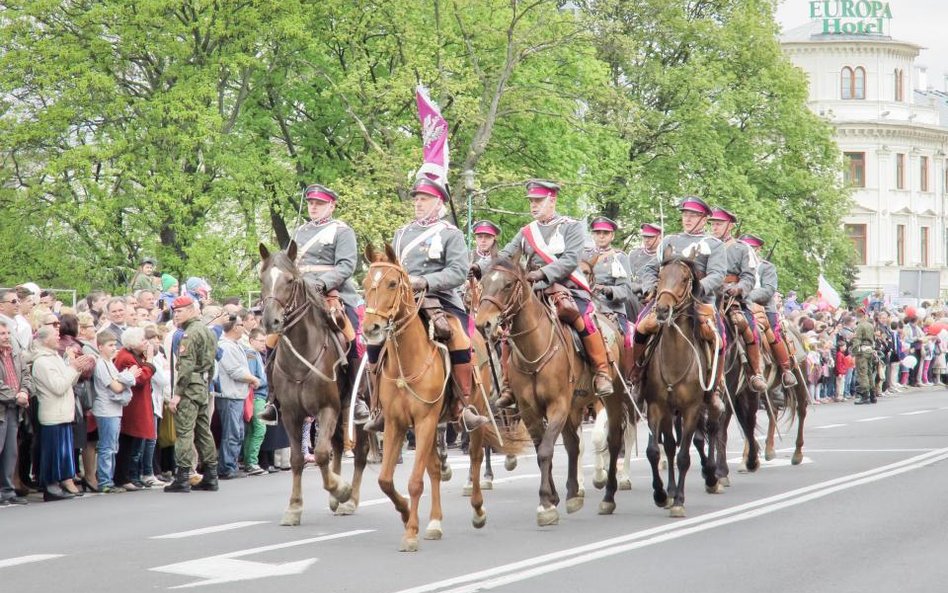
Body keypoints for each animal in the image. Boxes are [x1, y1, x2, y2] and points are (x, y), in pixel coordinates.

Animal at [256, 243, 366, 524]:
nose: (270, 322)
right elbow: (298, 458)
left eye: (290, 280)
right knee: (338, 446)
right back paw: (336, 499)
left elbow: (320, 453)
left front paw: (341, 489)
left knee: (359, 455)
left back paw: (351, 500)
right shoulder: (291, 414)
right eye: (262, 279)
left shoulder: (328, 408)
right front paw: (294, 507)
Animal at [474, 254, 628, 524]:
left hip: (611, 398)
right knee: (573, 444)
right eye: (483, 283)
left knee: (613, 439)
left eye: (507, 285)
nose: (484, 324)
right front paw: (552, 498)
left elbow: (546, 451)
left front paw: (546, 504)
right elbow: (541, 450)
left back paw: (608, 496)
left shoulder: (558, 406)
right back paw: (573, 493)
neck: (534, 347)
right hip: (575, 406)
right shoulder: (530, 411)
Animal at [640, 252, 724, 516]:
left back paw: (713, 476)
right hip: (670, 411)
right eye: (660, 276)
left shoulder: (692, 409)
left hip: (707, 404)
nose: (661, 309)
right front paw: (661, 494)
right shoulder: (657, 407)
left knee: (712, 430)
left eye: (685, 279)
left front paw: (679, 501)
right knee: (669, 445)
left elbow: (684, 456)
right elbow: (655, 451)